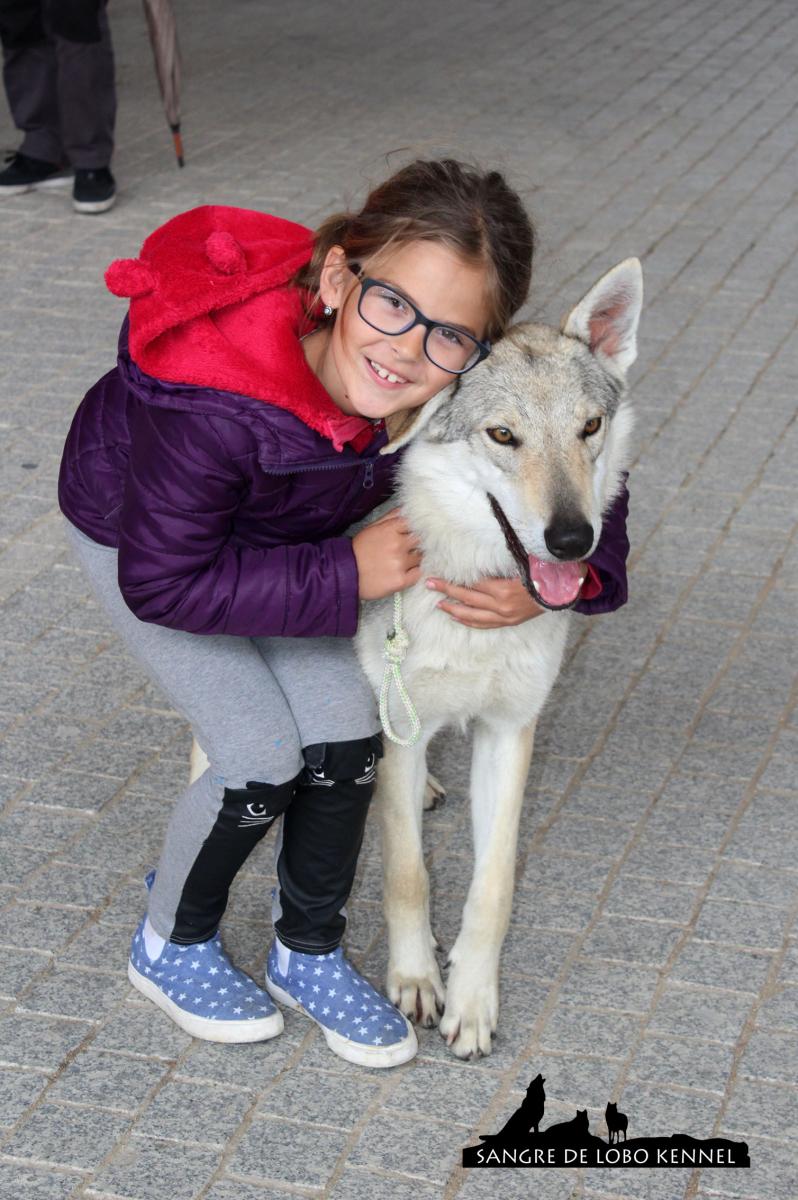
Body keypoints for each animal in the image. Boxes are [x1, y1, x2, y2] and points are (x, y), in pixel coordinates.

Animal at [355, 258, 643, 1056]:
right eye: (504, 435)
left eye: (589, 427)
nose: (574, 541)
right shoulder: (400, 727)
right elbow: (408, 874)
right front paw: (416, 981)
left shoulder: (510, 733)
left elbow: (494, 886)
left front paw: (472, 1002)